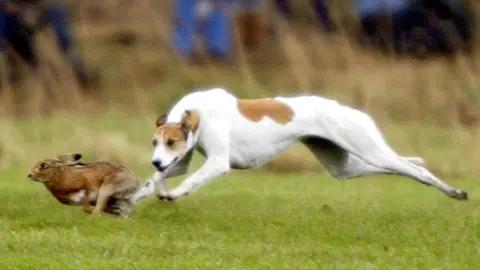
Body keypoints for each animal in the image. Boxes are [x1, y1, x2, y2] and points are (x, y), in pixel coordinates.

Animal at [133, 88, 466, 202]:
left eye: (172, 141)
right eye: (155, 143)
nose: (156, 161)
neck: (197, 113)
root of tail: (349, 110)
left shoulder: (217, 164)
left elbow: (190, 181)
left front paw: (173, 194)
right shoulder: (179, 162)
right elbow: (153, 181)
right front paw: (135, 198)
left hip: (367, 148)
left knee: (414, 171)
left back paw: (453, 191)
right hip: (345, 166)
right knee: (405, 166)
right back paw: (423, 167)